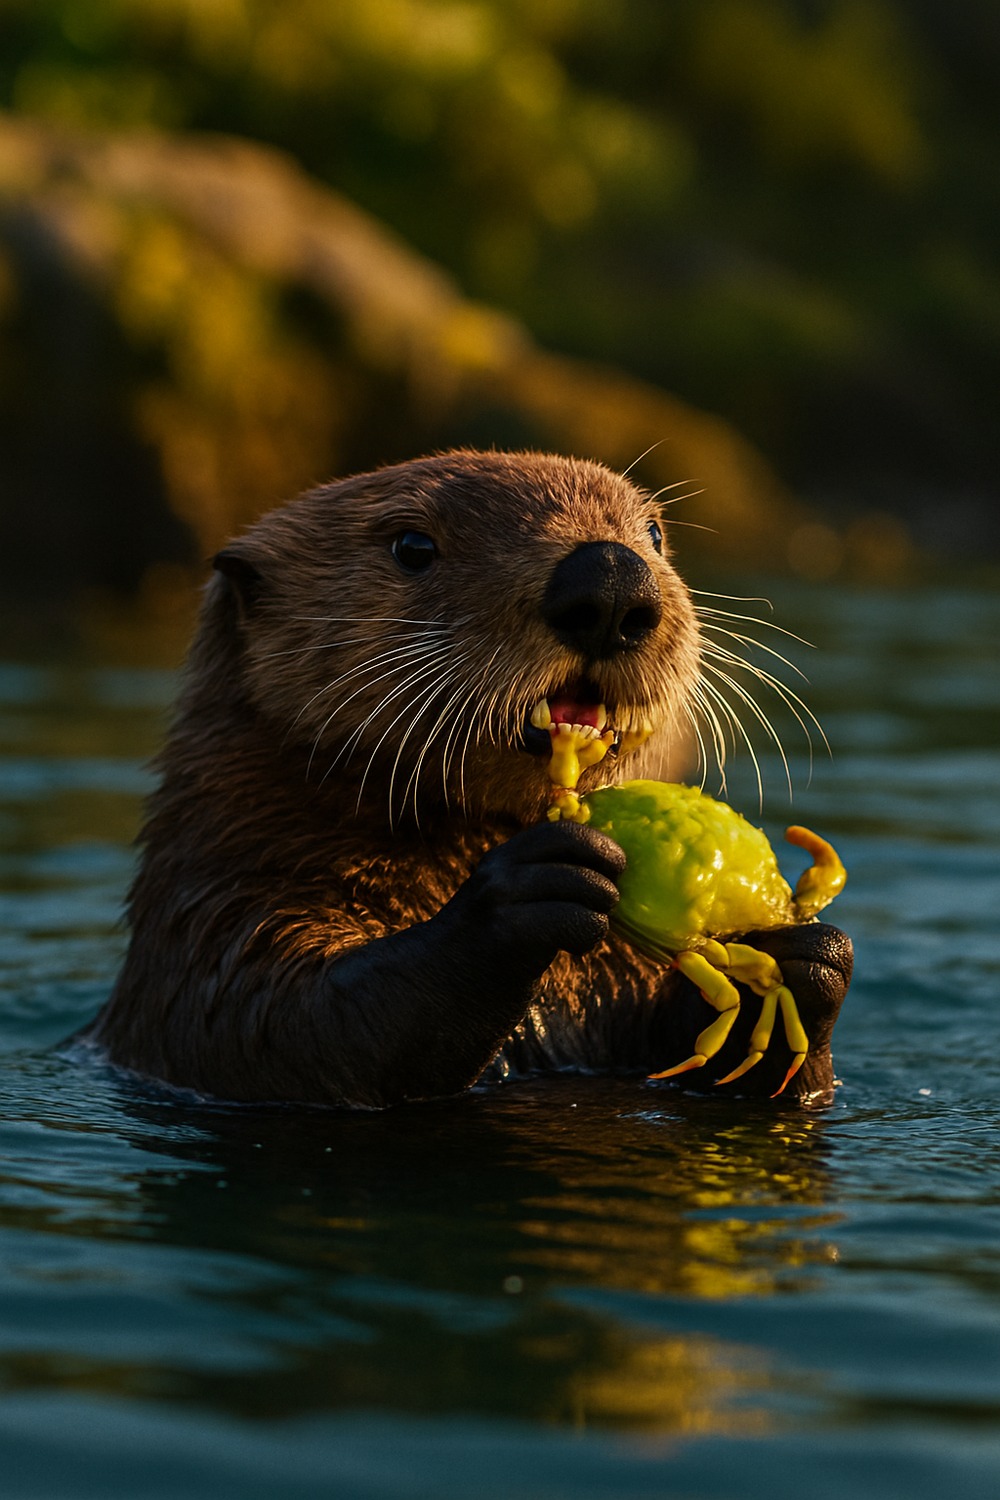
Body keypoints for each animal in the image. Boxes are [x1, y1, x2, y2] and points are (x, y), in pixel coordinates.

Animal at [85, 451, 852, 1107]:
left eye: (655, 533)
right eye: (412, 546)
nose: (609, 575)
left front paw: (806, 956)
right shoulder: (225, 914)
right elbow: (291, 1025)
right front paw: (526, 889)